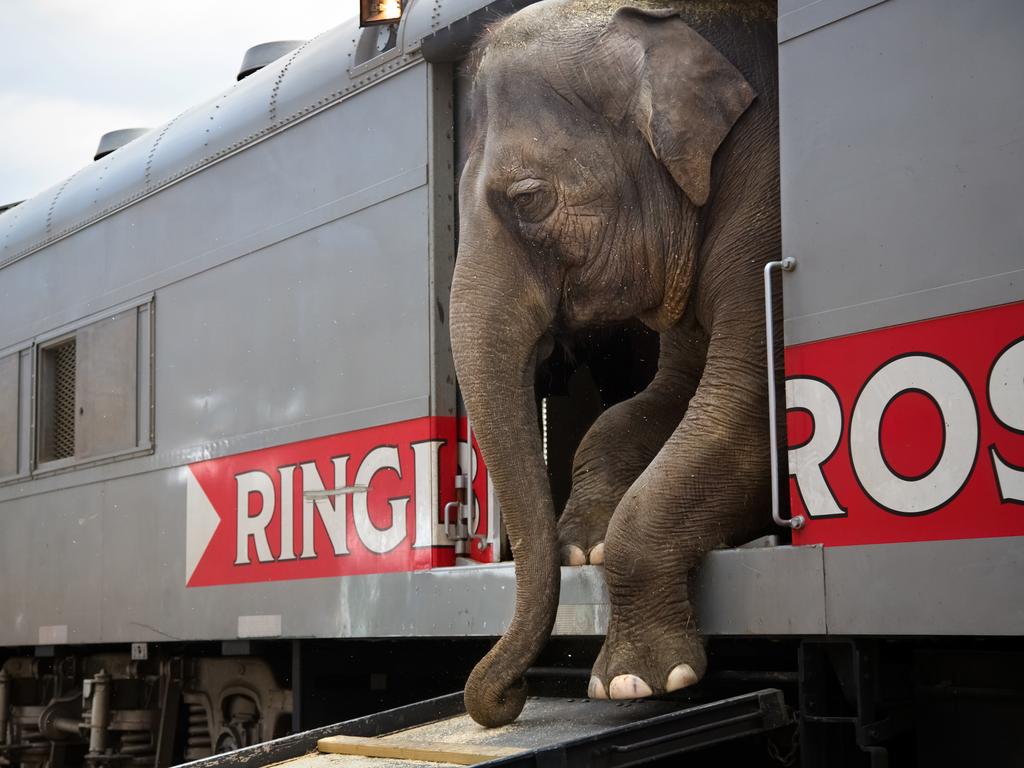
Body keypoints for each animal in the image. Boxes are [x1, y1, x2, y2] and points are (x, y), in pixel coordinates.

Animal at [448, 0, 774, 729]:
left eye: (528, 199)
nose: (514, 695)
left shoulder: (764, 211)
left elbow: (740, 411)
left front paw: (635, 682)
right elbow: (649, 404)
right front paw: (580, 543)